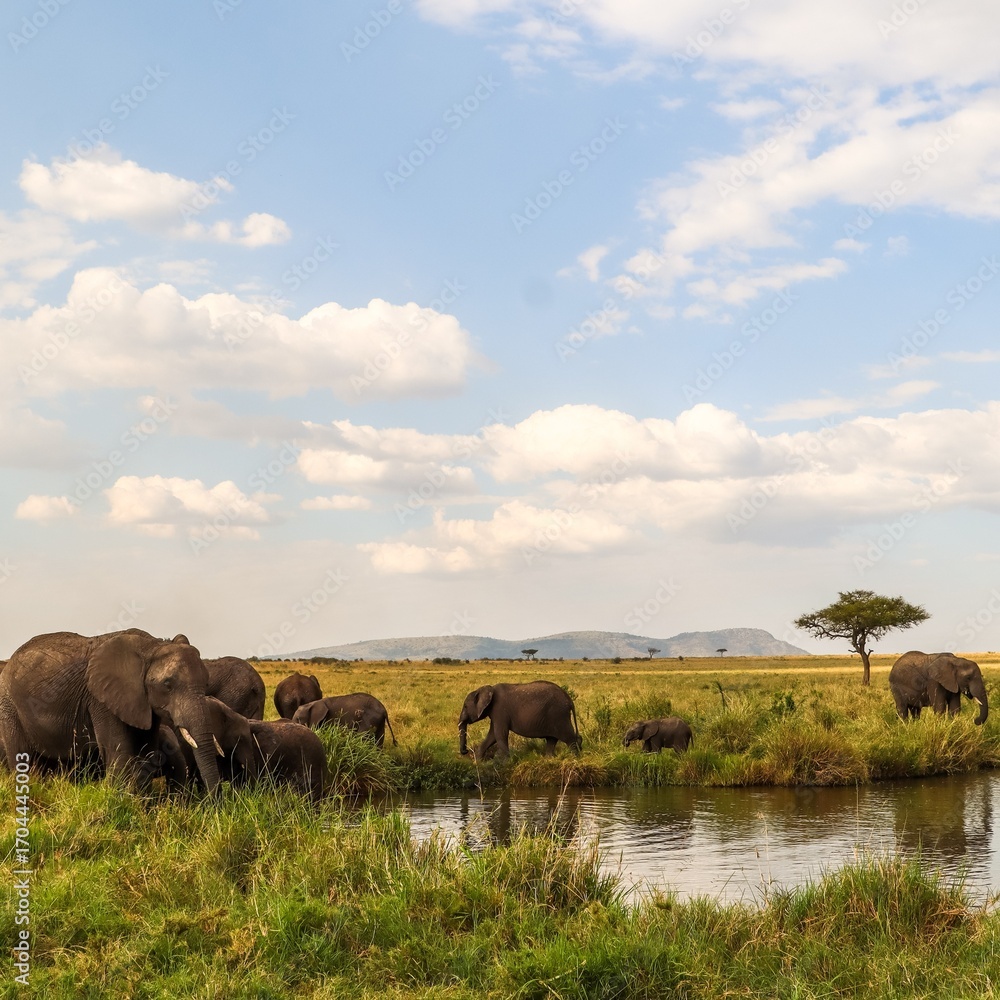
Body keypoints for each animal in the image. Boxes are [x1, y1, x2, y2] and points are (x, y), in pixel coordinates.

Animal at [0, 629, 222, 791]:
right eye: (167, 685)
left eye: (207, 683)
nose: (215, 804)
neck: (152, 646)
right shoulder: (101, 700)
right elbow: (118, 753)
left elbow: (144, 755)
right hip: (9, 706)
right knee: (24, 760)